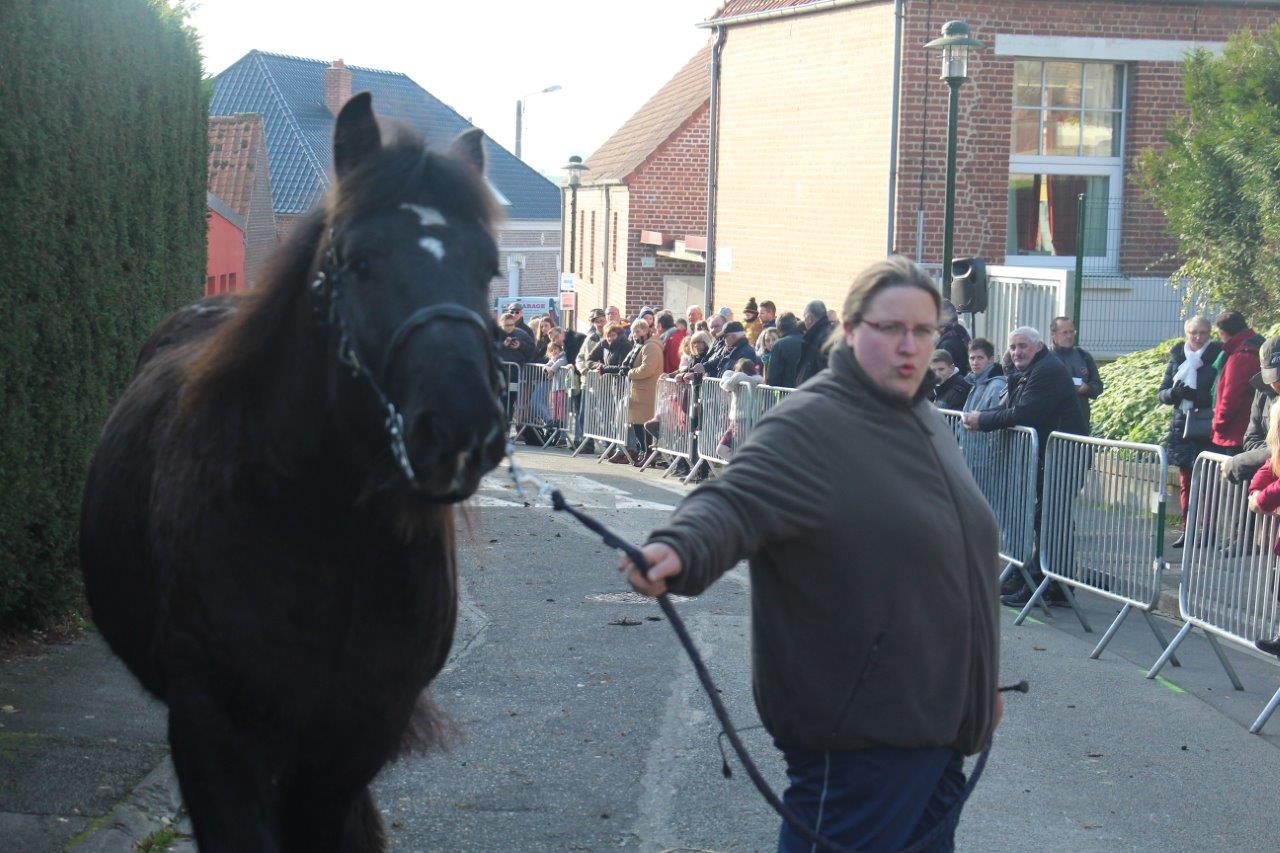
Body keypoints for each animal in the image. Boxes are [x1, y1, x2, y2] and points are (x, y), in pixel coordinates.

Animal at [77, 89, 509, 845]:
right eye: (360, 260)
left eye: (487, 268)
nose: (461, 426)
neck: (324, 535)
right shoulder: (211, 731)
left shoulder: (356, 735)